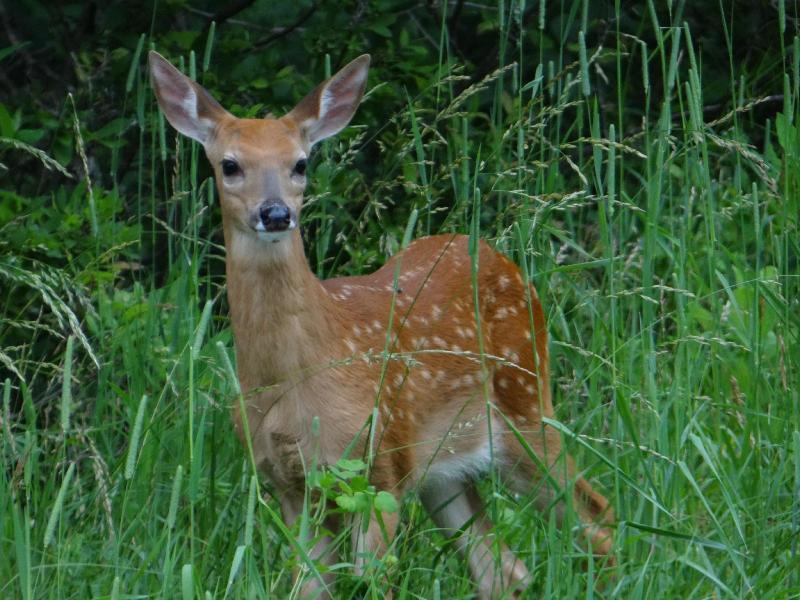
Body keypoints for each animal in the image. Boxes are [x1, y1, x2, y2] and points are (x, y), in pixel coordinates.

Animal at [148, 49, 612, 596]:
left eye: (300, 163)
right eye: (230, 165)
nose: (276, 213)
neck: (296, 378)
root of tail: (508, 265)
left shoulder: (377, 469)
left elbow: (375, 581)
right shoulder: (290, 487)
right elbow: (307, 585)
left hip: (528, 408)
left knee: (597, 516)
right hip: (444, 470)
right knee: (503, 568)